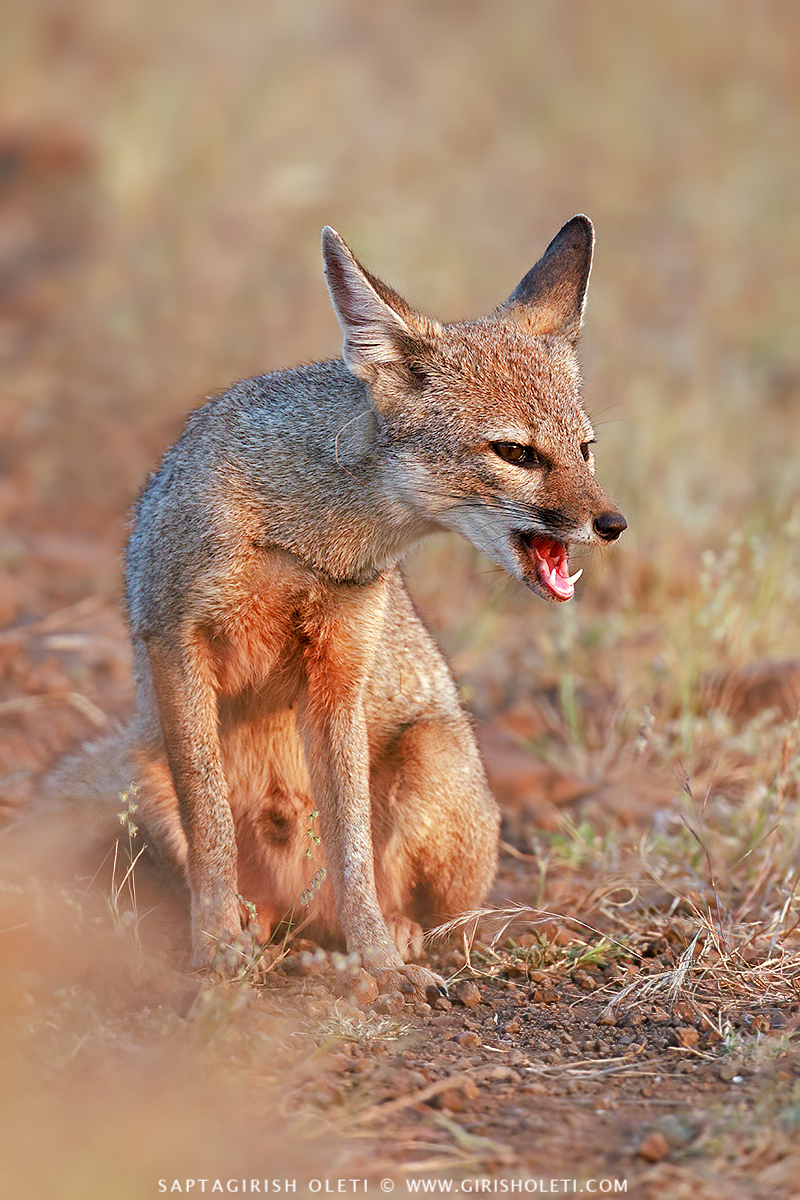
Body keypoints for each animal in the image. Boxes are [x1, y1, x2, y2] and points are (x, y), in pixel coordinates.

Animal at [88, 215, 626, 997]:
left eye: (585, 450)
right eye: (517, 454)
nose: (613, 524)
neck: (303, 534)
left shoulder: (339, 671)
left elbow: (351, 843)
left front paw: (373, 955)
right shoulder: (176, 643)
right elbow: (210, 820)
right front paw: (215, 941)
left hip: (434, 754)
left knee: (427, 915)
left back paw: (386, 934)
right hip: (136, 761)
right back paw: (252, 921)